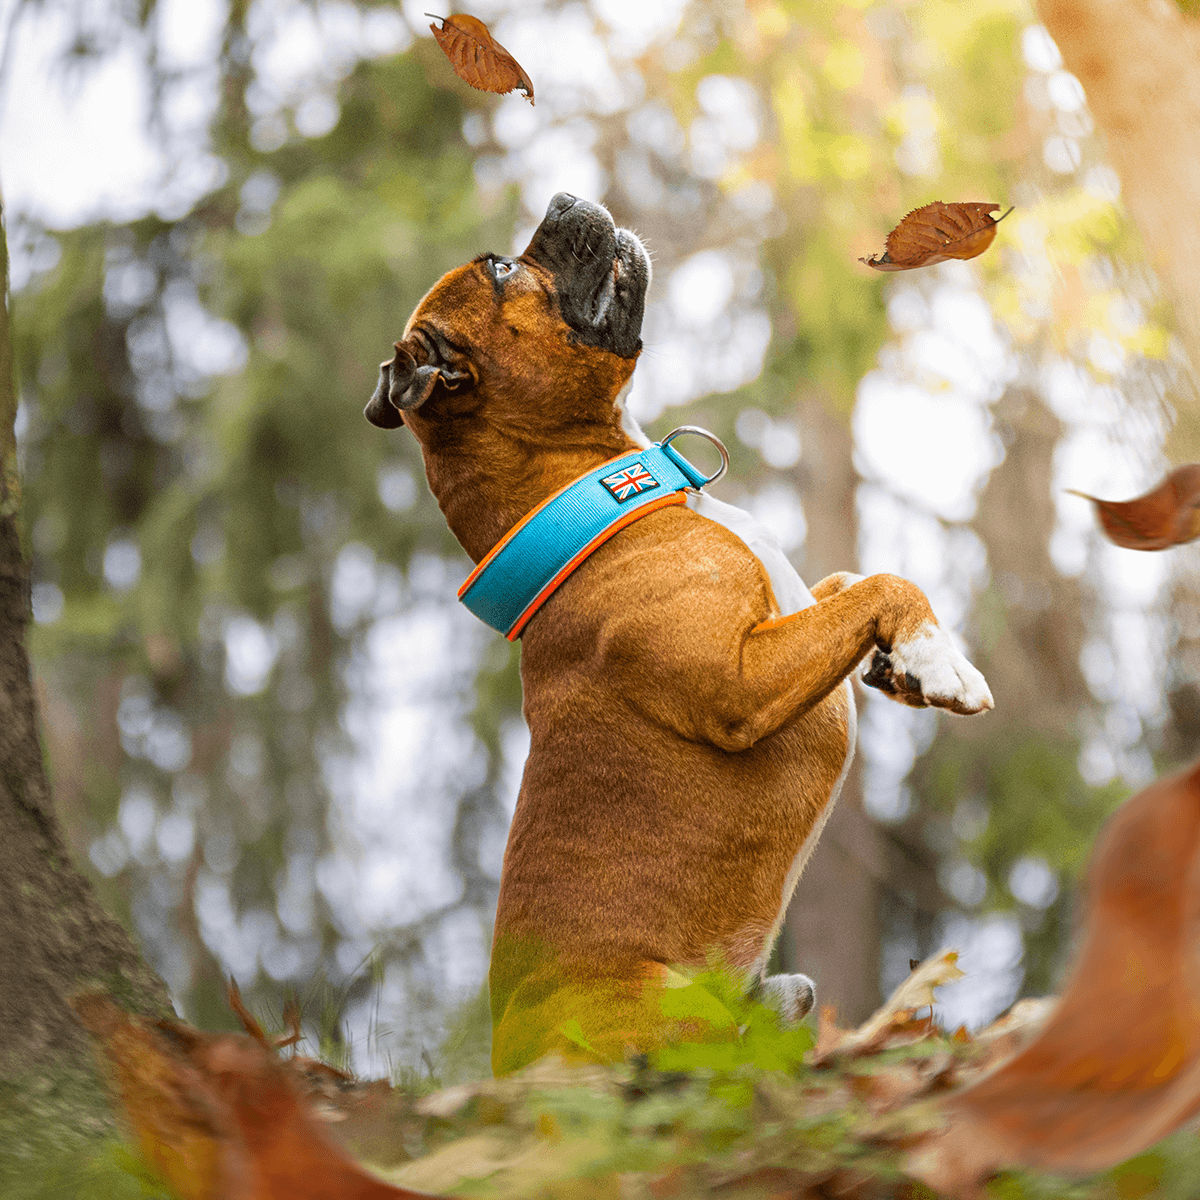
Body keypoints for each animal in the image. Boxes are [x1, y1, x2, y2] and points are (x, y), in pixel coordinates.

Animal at [367, 192, 993, 1075]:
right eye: (500, 270)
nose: (563, 197)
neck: (605, 493)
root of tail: (507, 1074)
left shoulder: (792, 614)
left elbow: (849, 585)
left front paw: (899, 666)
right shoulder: (741, 685)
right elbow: (882, 583)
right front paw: (941, 665)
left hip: (782, 992)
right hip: (667, 1008)